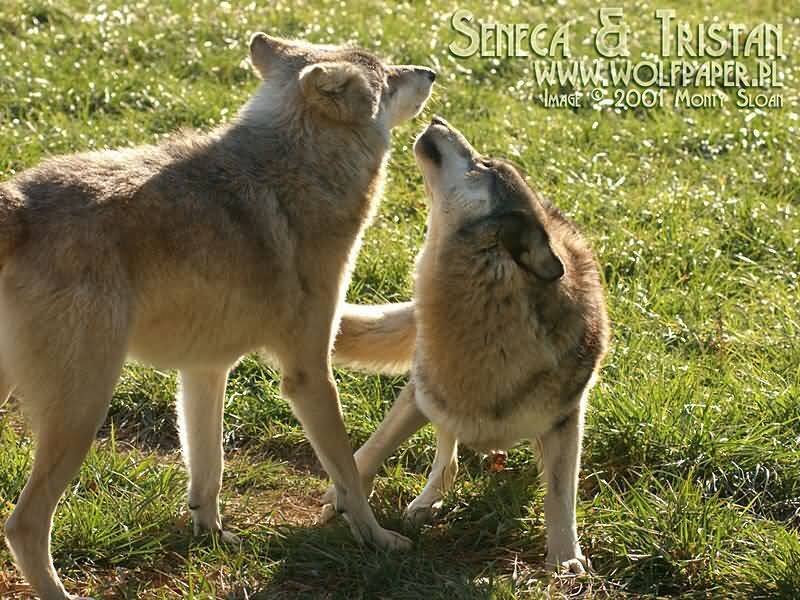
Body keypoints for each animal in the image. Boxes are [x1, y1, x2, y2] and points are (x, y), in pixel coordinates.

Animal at [0, 33, 434, 599]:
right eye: (391, 76)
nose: (431, 70)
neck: (298, 166)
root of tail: (18, 203)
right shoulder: (308, 374)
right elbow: (349, 476)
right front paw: (378, 540)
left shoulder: (205, 369)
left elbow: (209, 471)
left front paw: (211, 537)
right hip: (82, 412)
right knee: (23, 525)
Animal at [331, 117, 610, 573]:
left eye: (484, 164)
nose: (437, 119)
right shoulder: (419, 396)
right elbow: (370, 453)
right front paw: (339, 503)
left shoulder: (566, 421)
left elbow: (560, 497)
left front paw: (565, 560)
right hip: (437, 404)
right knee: (448, 457)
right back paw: (425, 505)